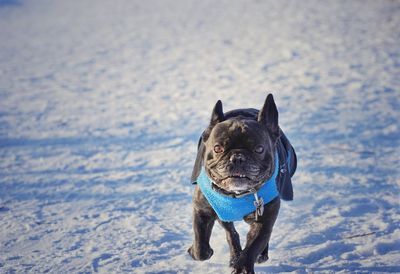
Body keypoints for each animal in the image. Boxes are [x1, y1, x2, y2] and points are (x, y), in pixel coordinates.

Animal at [188, 93, 296, 272]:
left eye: (259, 149)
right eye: (217, 148)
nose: (237, 157)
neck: (236, 194)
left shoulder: (264, 219)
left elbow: (253, 246)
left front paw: (243, 267)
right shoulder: (202, 209)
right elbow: (200, 246)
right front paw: (200, 250)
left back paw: (259, 255)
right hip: (222, 215)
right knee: (230, 232)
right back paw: (234, 255)